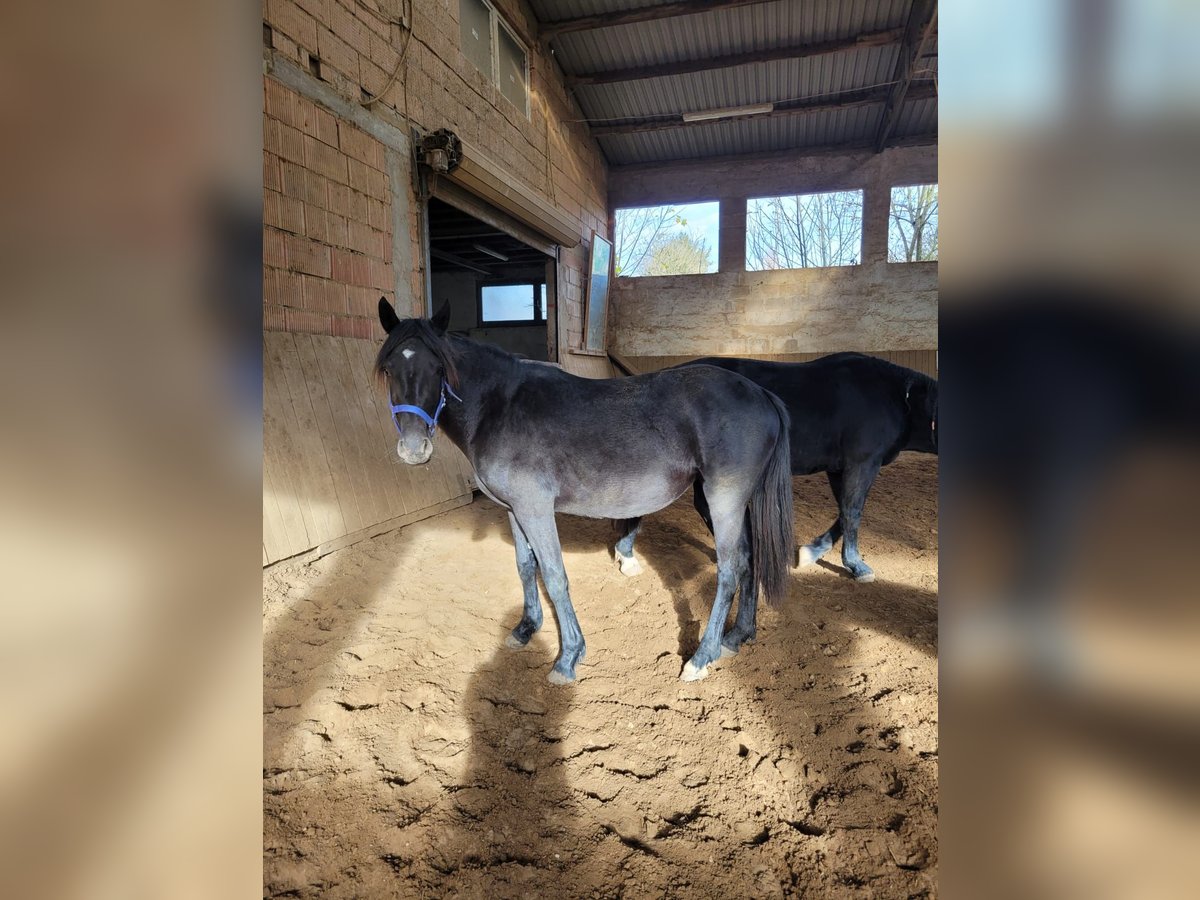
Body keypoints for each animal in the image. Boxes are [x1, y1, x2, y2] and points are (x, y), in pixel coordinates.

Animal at [374, 298, 795, 684]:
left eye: (438, 368)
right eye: (390, 369)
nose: (414, 449)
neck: (499, 406)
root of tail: (761, 394)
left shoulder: (536, 509)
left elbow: (554, 576)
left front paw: (568, 657)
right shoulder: (514, 510)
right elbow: (525, 567)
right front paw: (525, 629)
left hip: (723, 500)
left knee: (729, 570)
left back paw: (701, 657)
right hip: (725, 504)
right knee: (750, 560)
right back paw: (736, 637)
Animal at [614, 353, 938, 583]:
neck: (897, 397)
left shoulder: (840, 468)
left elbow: (843, 512)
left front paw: (809, 553)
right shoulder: (862, 464)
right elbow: (853, 512)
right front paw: (857, 566)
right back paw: (628, 555)